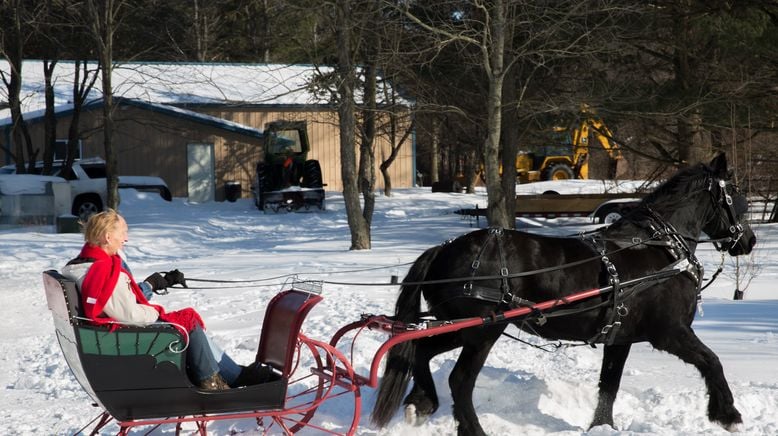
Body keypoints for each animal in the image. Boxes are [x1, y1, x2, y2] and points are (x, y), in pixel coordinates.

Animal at [372, 153, 756, 432]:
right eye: (737, 197)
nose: (749, 241)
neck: (660, 248)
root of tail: (443, 249)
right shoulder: (670, 332)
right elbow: (712, 361)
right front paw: (729, 414)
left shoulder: (619, 338)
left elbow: (609, 386)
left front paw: (602, 427)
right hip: (482, 328)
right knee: (460, 380)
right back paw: (469, 427)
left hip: (457, 325)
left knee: (421, 352)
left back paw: (420, 403)